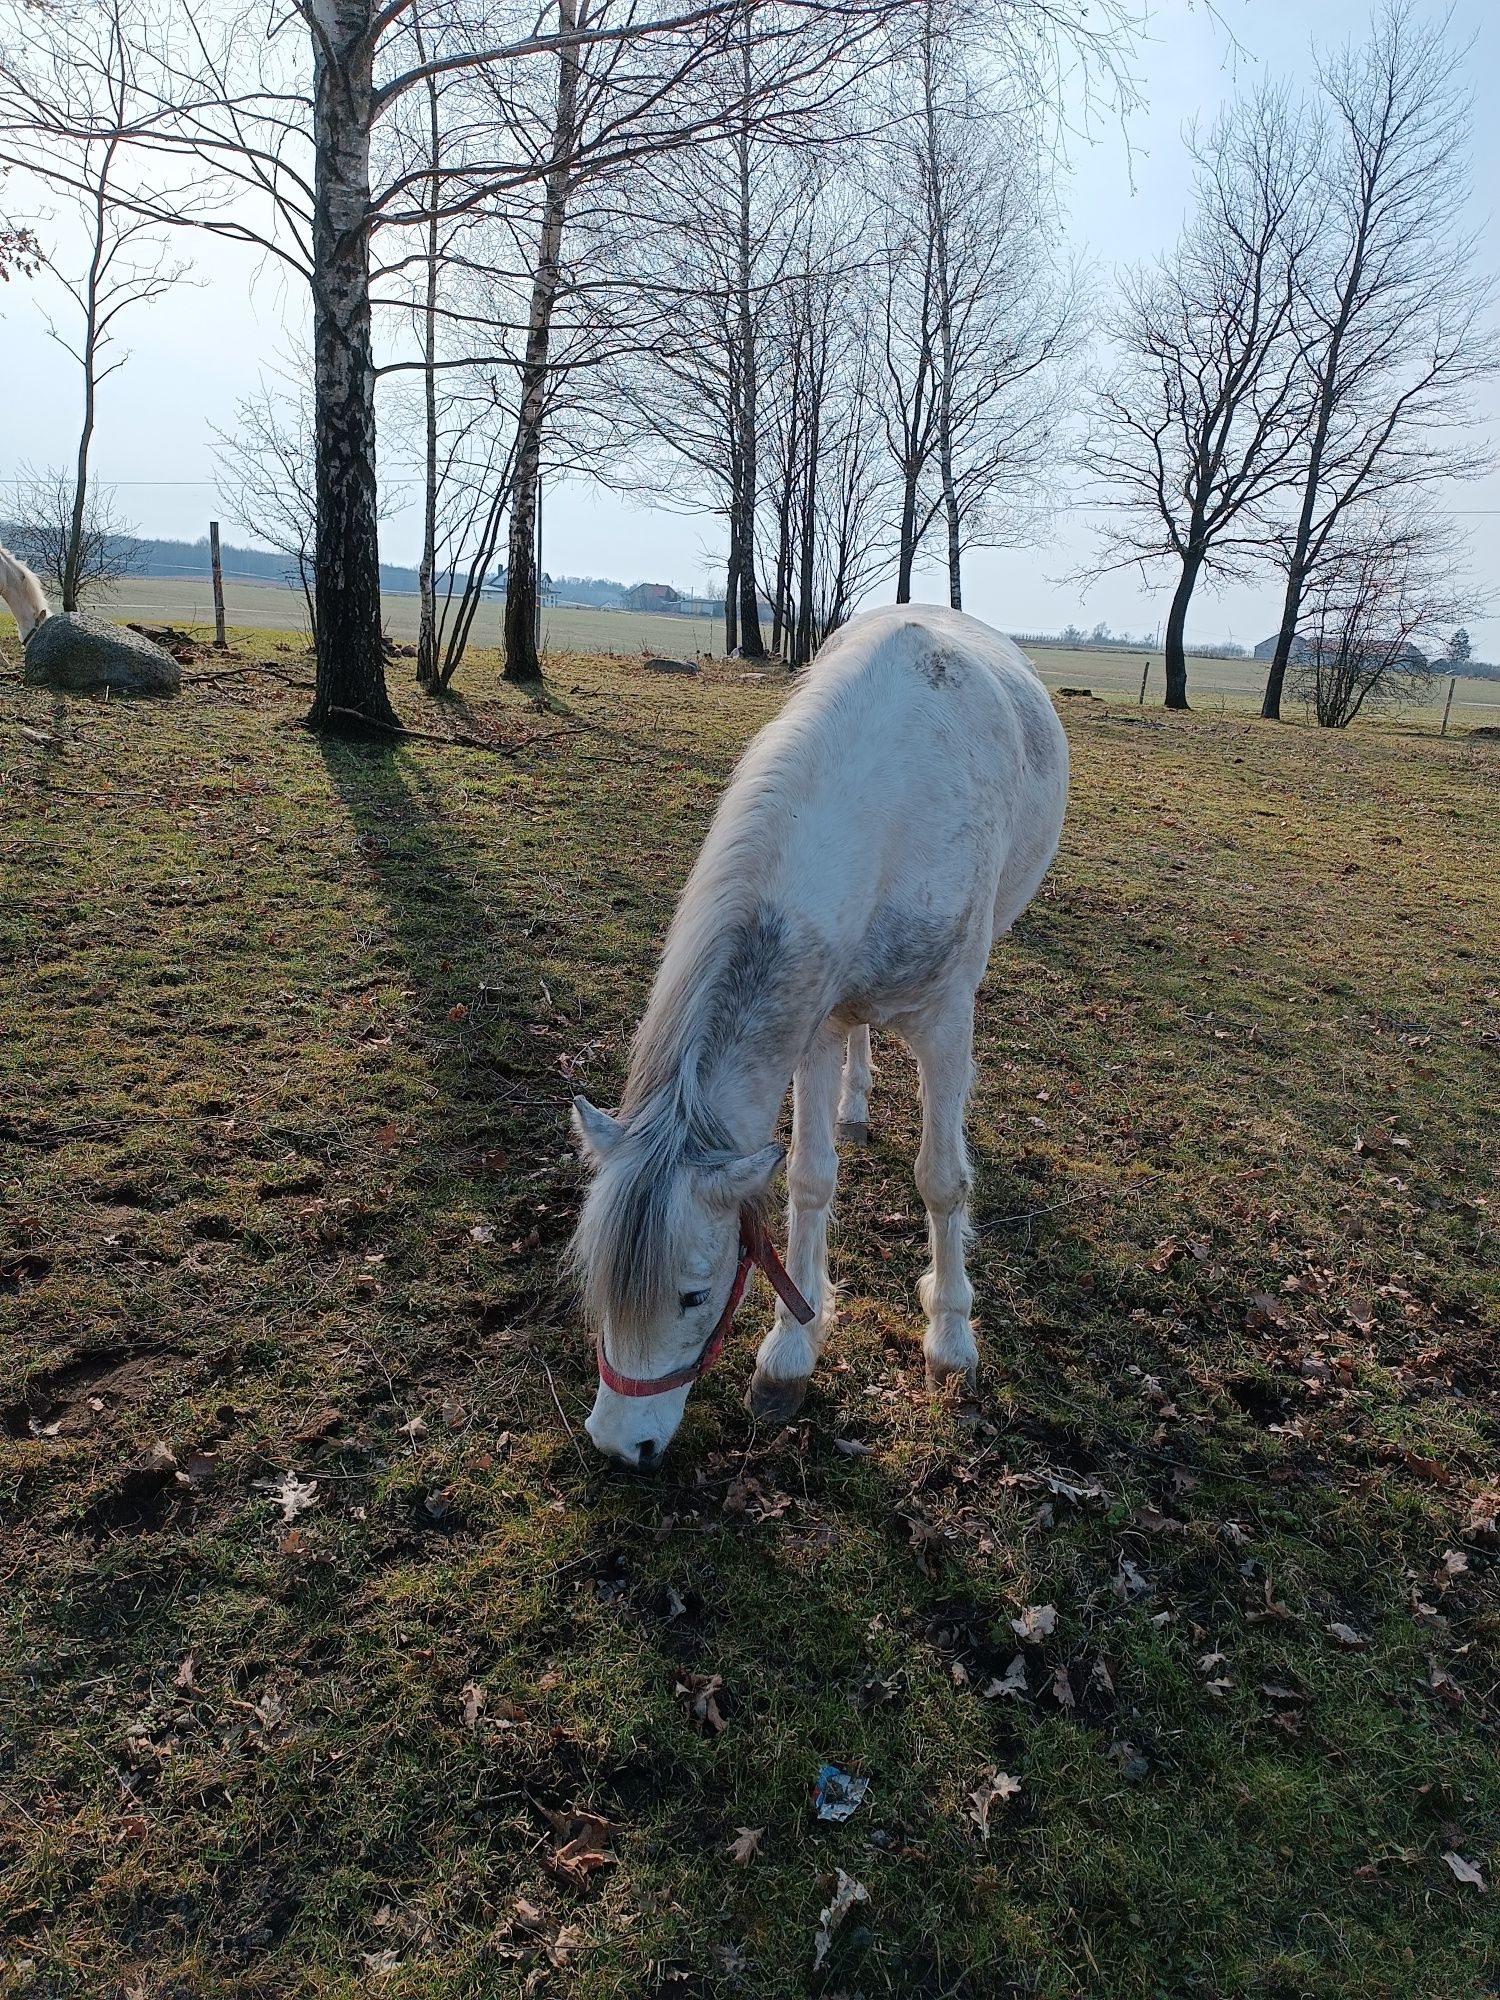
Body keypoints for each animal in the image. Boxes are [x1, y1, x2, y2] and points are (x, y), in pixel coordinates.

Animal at [564, 604, 1072, 1472]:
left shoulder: (945, 1023)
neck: (887, 809)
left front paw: (950, 1339)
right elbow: (808, 1180)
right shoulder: (817, 1024)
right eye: (600, 1280)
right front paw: (789, 1357)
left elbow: (942, 1181)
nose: (619, 1445)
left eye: (694, 1295)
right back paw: (856, 1108)